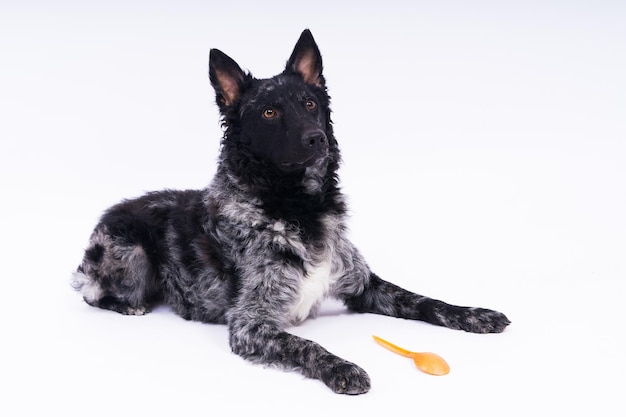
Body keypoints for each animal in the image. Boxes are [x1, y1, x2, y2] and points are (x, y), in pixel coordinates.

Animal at [72, 29, 508, 394]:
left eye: (310, 103)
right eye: (269, 112)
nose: (316, 139)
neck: (297, 207)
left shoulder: (365, 286)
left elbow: (423, 300)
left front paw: (474, 314)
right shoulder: (252, 323)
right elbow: (305, 344)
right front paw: (342, 367)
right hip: (131, 253)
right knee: (92, 293)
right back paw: (128, 305)